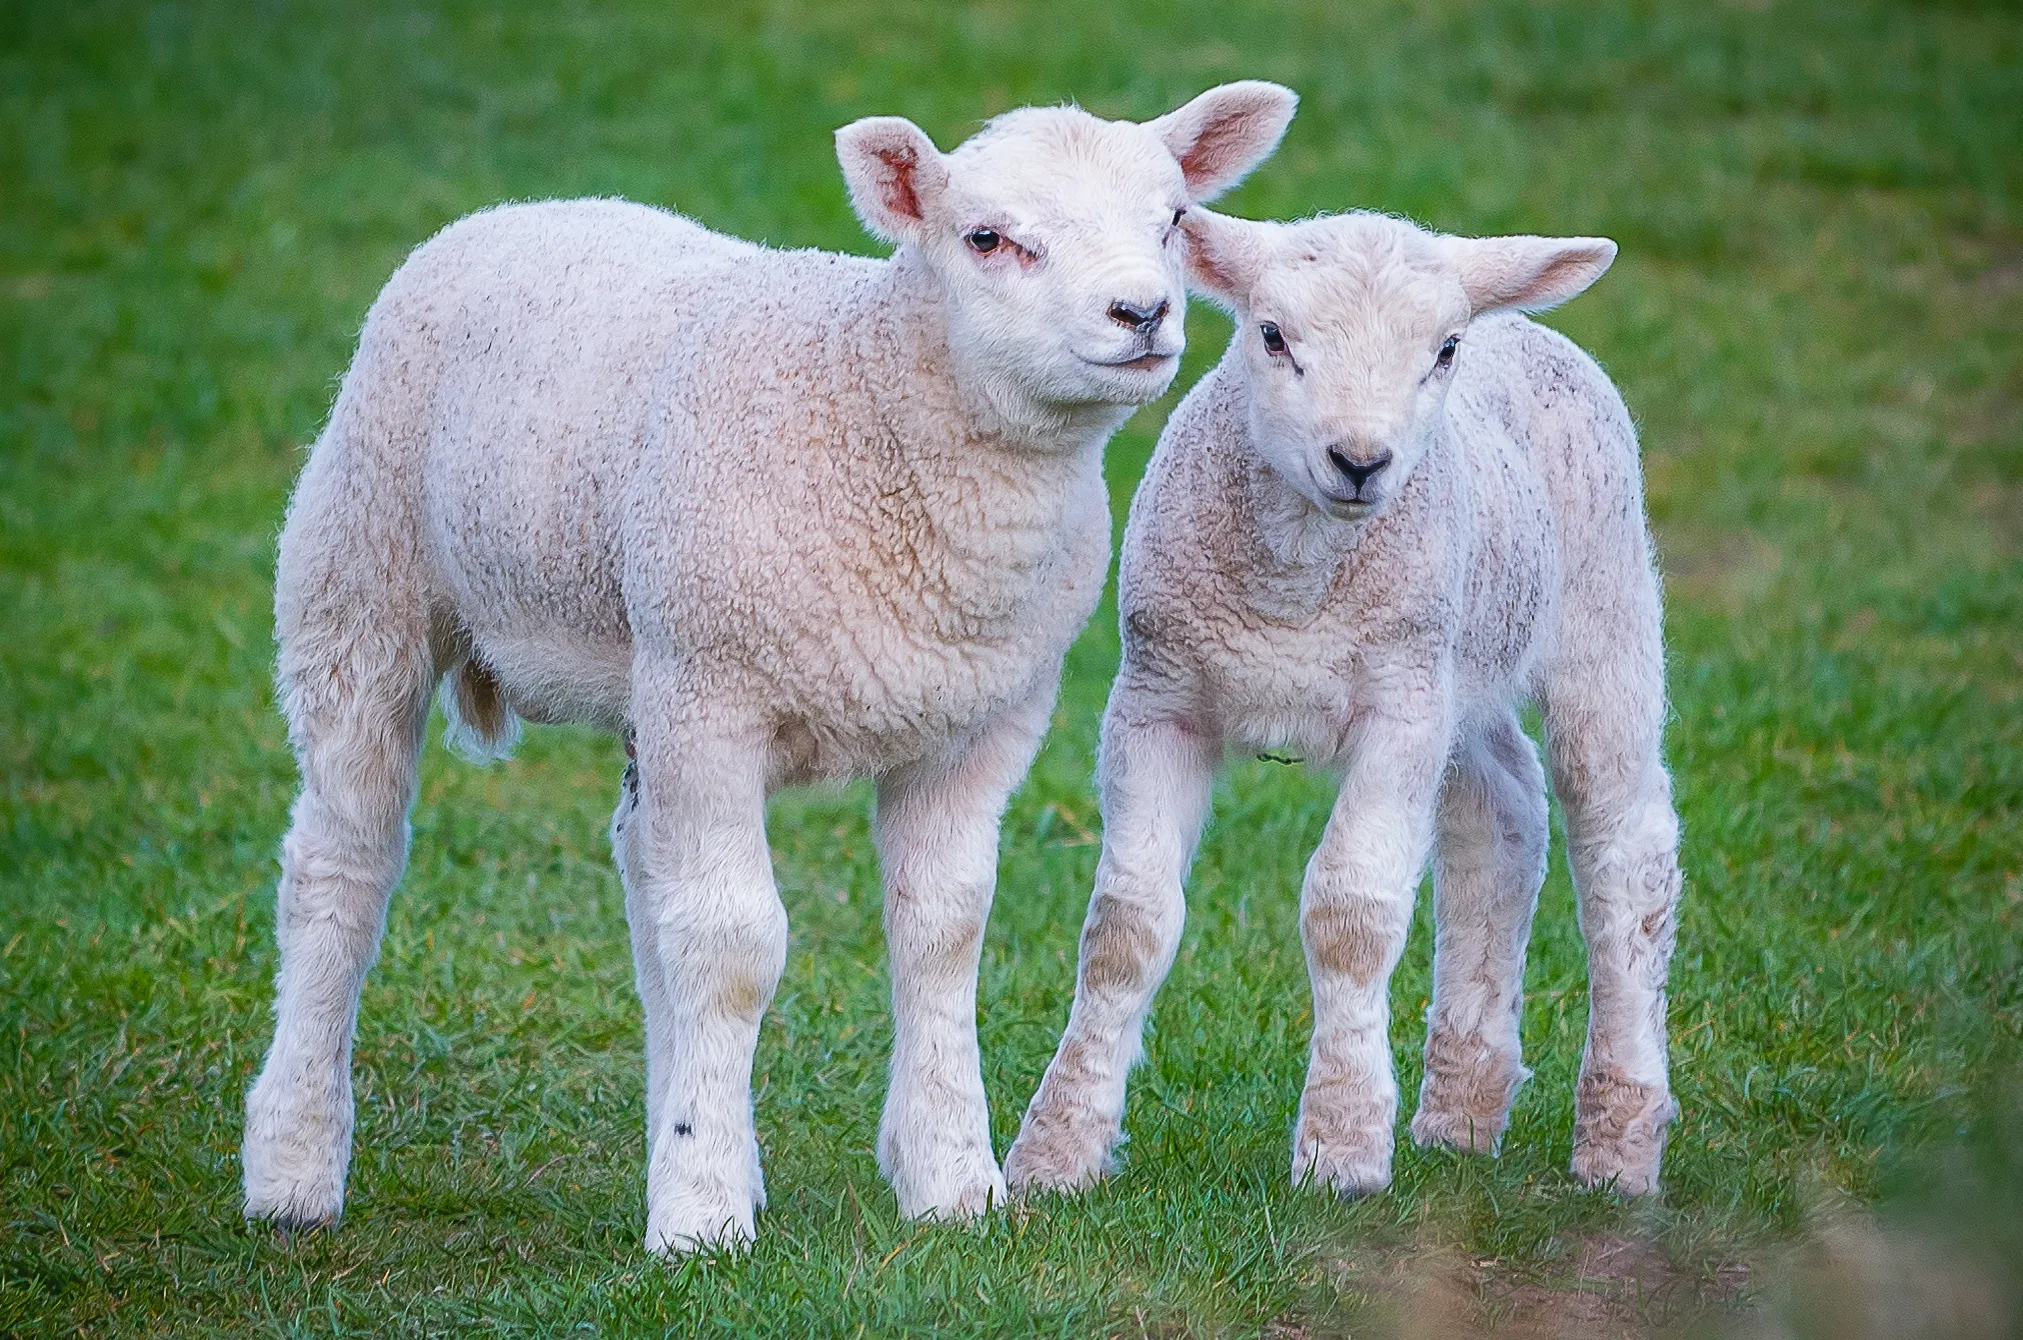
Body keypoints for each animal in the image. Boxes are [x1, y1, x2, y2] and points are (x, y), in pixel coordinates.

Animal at [239, 83, 1300, 1255]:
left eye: (1172, 219)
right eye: (986, 238)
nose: (1142, 313)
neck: (878, 413)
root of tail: (518, 209)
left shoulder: (982, 718)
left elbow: (941, 931)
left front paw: (949, 1179)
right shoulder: (717, 697)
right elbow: (735, 942)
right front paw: (698, 1214)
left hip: (644, 659)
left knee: (643, 871)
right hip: (362, 575)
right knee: (341, 864)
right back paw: (293, 1166)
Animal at [1004, 208, 1683, 1202]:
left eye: (1442, 349)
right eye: (1271, 334)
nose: (1360, 461)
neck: (1295, 584)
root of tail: (1520, 325)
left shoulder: (1395, 715)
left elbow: (1351, 912)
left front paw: (1342, 1148)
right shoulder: (1157, 700)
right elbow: (1126, 925)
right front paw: (1056, 1154)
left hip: (1600, 611)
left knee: (1624, 850)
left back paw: (1618, 1145)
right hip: (1455, 667)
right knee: (1500, 811)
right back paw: (1460, 1114)